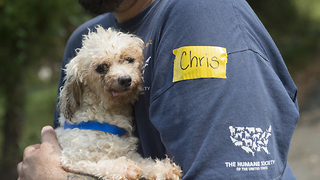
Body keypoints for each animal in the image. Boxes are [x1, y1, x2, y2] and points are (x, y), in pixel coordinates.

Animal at [55, 25, 182, 180]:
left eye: (129, 59)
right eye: (100, 67)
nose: (125, 79)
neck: (105, 116)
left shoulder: (128, 151)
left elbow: (144, 162)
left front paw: (162, 169)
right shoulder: (74, 158)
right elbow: (102, 163)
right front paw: (125, 167)